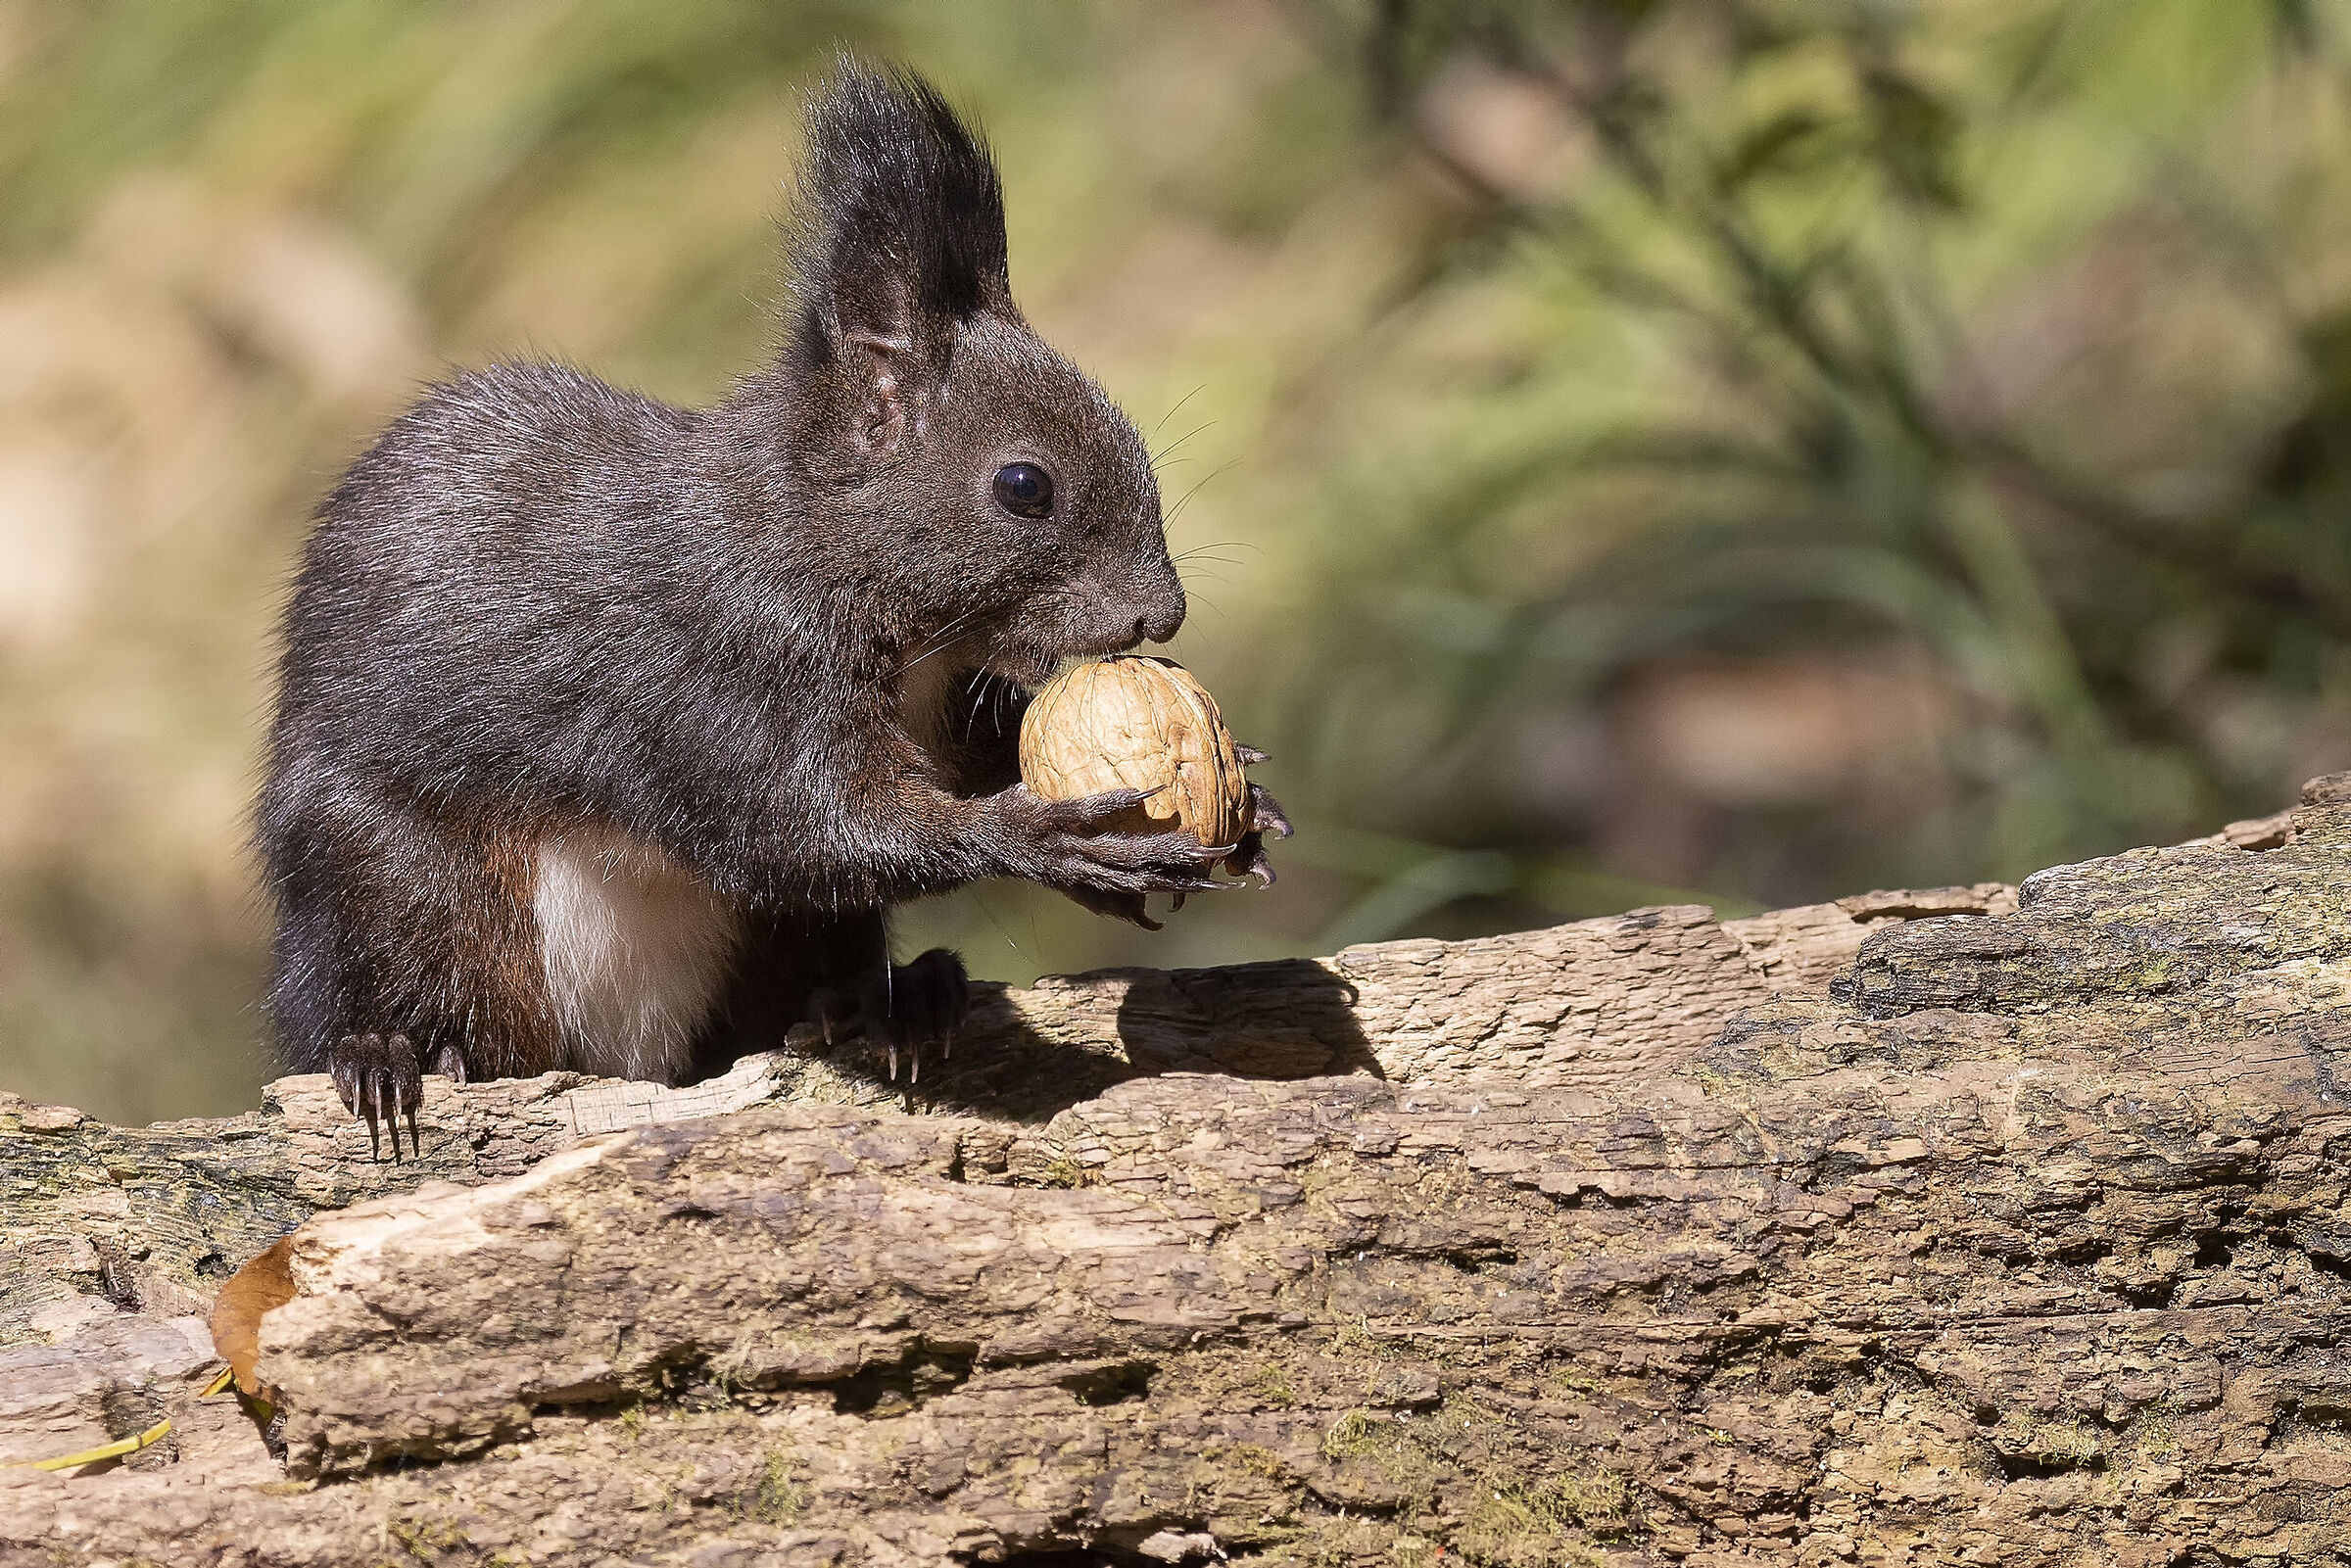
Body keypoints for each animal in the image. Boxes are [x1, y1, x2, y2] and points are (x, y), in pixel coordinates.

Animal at [257, 60, 1289, 1159]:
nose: (1161, 614)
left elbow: (953, 768)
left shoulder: (939, 697)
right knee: (372, 988)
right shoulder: (728, 668)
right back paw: (390, 1051)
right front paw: (1051, 838)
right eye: (1024, 487)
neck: (817, 544)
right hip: (397, 887)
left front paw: (1247, 794)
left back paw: (892, 1001)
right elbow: (811, 826)